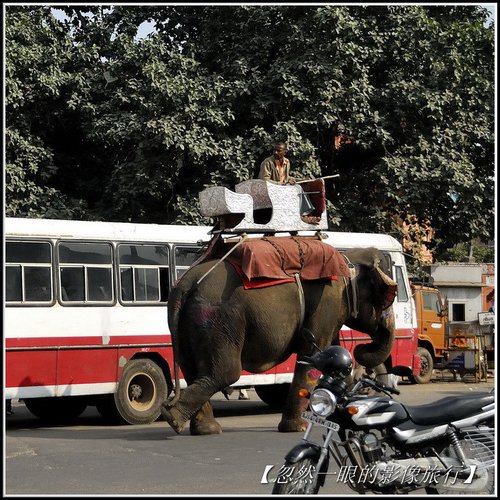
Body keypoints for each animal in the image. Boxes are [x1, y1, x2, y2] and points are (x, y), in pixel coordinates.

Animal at [163, 240, 398, 436]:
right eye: (388, 297)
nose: (362, 348)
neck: (348, 259)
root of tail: (184, 284)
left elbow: (333, 356)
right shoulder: (326, 301)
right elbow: (312, 356)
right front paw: (297, 428)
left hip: (188, 324)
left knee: (193, 371)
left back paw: (201, 428)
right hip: (219, 318)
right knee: (225, 373)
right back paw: (174, 419)